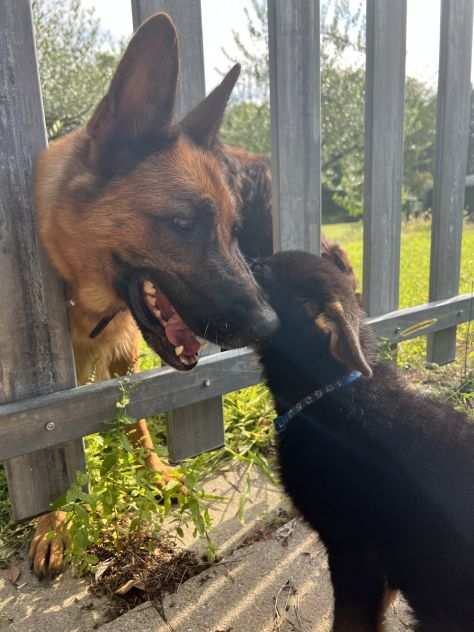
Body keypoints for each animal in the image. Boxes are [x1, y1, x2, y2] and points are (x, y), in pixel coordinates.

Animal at [30, 12, 278, 580]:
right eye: (183, 224)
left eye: (233, 229)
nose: (271, 324)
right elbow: (52, 451)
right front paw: (53, 523)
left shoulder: (124, 358)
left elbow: (139, 420)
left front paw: (157, 471)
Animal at [252, 252, 474, 632]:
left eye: (265, 273)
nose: (248, 261)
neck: (331, 390)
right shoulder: (380, 569)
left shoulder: (351, 553)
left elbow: (349, 620)